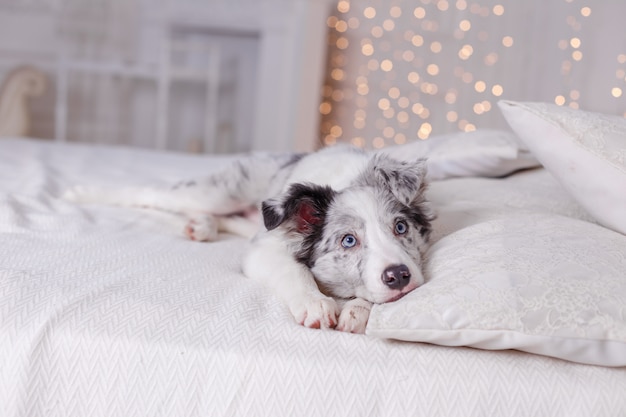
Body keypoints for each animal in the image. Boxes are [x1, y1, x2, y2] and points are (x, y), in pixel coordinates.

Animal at [64, 145, 434, 334]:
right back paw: (78, 192)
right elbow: (295, 271)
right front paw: (314, 303)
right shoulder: (263, 250)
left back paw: (202, 226)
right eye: (348, 241)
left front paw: (357, 311)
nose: (399, 276)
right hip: (221, 190)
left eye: (401, 227)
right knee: (151, 194)